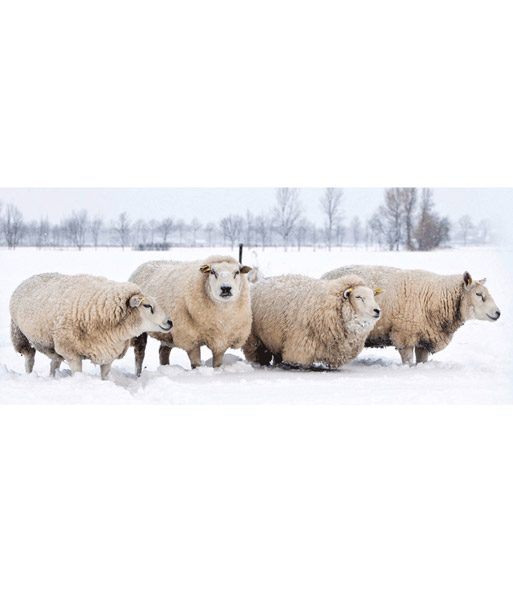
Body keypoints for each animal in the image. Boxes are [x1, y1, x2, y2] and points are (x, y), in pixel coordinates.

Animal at [10, 272, 173, 380]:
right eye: (147, 305)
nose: (170, 322)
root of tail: (31, 277)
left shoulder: (108, 353)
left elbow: (105, 376)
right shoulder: (71, 352)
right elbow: (78, 373)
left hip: (53, 343)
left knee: (54, 363)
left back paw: (52, 377)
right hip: (20, 334)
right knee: (29, 358)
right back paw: (29, 375)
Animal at [242, 274, 382, 370]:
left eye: (373, 296)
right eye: (358, 297)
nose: (377, 310)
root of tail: (257, 283)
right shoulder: (301, 344)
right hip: (255, 340)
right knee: (259, 355)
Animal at [320, 266, 500, 364]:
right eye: (478, 294)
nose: (498, 313)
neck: (436, 296)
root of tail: (324, 276)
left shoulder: (425, 337)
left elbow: (421, 361)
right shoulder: (404, 335)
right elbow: (408, 361)